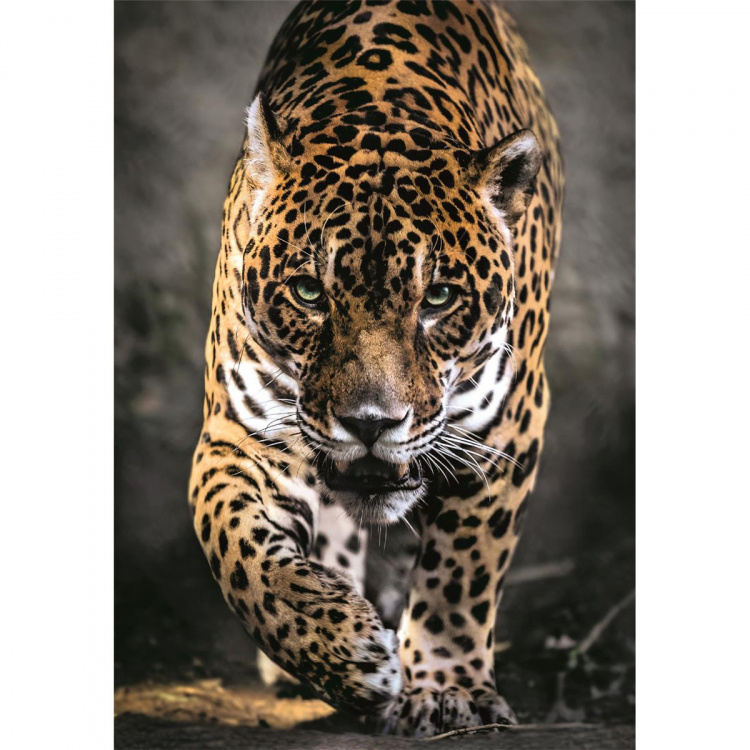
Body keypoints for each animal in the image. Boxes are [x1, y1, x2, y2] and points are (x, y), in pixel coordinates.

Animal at [188, 0, 563, 737]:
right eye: (310, 292)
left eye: (439, 298)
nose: (370, 423)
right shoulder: (238, 433)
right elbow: (238, 549)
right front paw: (341, 651)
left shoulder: (506, 427)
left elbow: (462, 570)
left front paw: (447, 690)